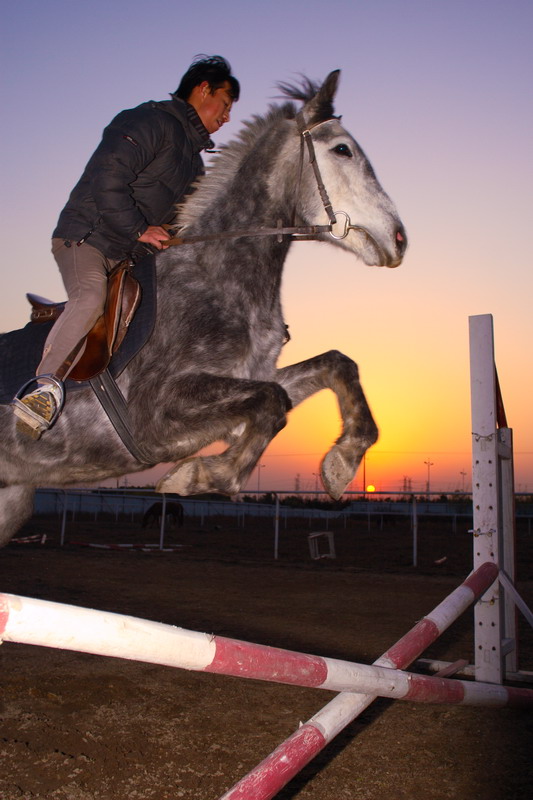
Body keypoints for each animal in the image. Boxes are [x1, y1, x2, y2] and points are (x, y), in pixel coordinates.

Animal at [1, 72, 408, 544]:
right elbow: (271, 403)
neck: (217, 276)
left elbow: (333, 367)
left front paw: (340, 465)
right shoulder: (155, 415)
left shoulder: (247, 379)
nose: (399, 239)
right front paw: (196, 476)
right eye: (342, 149)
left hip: (12, 500)